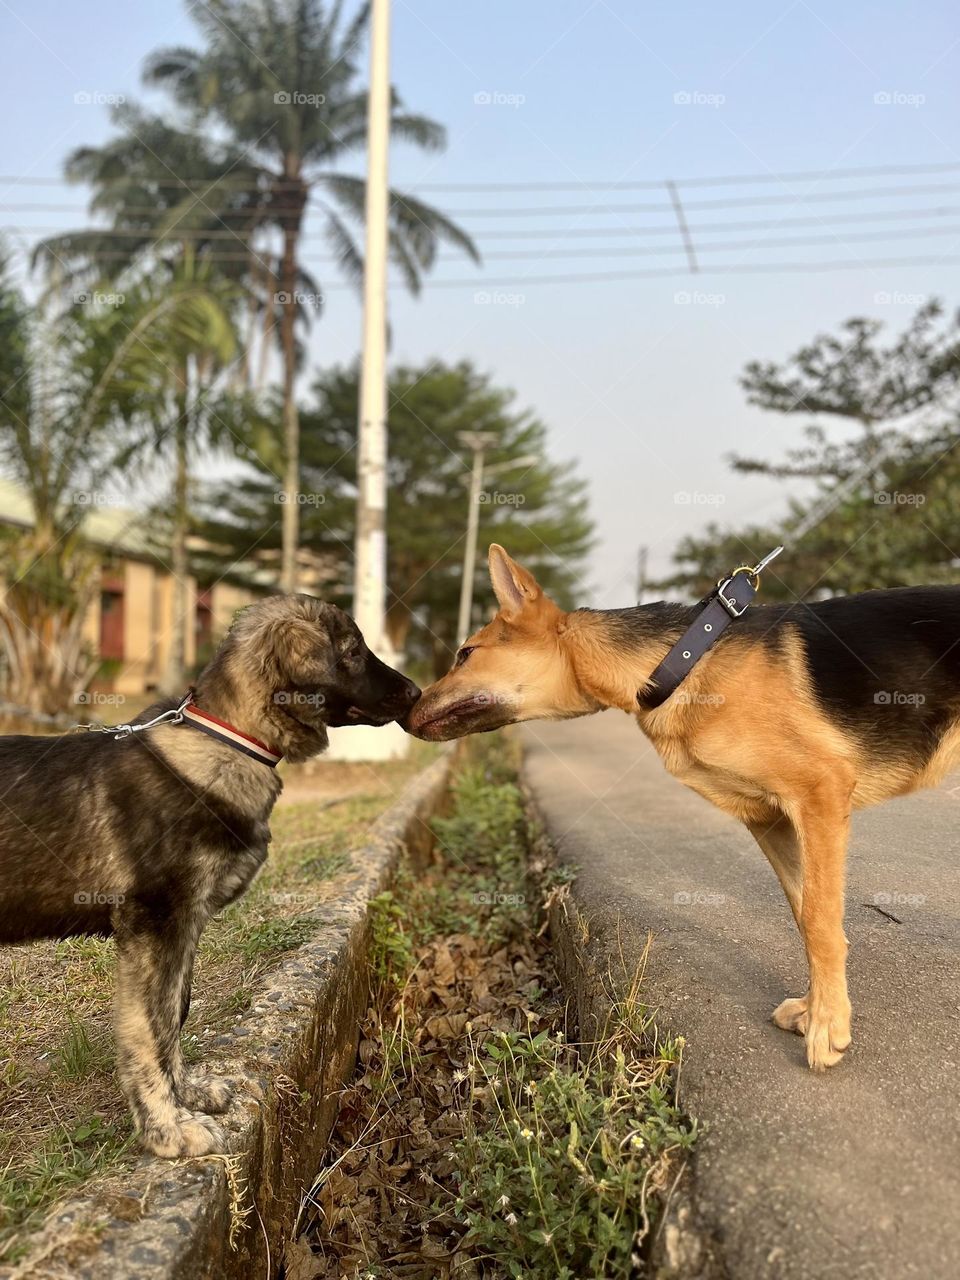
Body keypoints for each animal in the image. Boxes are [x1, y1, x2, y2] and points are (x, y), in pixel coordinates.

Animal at [0, 599, 419, 1162]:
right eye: (352, 651)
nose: (416, 692)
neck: (229, 739)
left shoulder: (184, 930)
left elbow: (175, 1014)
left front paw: (189, 1094)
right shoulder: (155, 927)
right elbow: (149, 1030)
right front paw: (166, 1131)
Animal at [407, 545, 960, 1075]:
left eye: (464, 653)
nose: (406, 709)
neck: (682, 658)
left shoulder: (820, 795)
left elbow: (822, 923)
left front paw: (828, 1025)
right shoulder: (772, 820)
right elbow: (806, 916)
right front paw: (814, 1008)